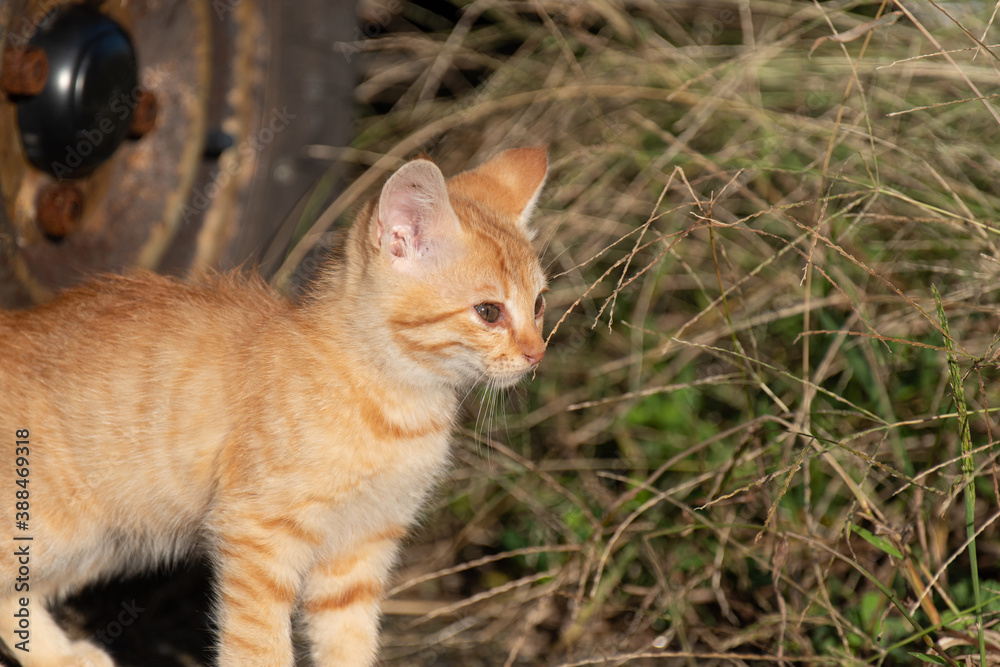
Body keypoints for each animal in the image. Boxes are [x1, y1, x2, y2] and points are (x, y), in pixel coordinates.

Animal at [0, 147, 548, 667]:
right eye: (489, 312)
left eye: (540, 303)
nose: (537, 353)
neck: (393, 402)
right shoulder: (255, 532)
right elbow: (259, 647)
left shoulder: (360, 550)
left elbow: (349, 644)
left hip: (100, 543)